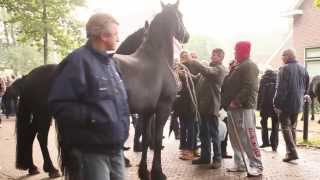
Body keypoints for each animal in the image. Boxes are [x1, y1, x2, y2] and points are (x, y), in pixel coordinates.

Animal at [113, 1, 190, 179]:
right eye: (181, 15)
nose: (187, 35)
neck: (158, 57)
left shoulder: (147, 111)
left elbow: (147, 139)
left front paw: (143, 171)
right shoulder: (163, 108)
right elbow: (156, 139)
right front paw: (158, 172)